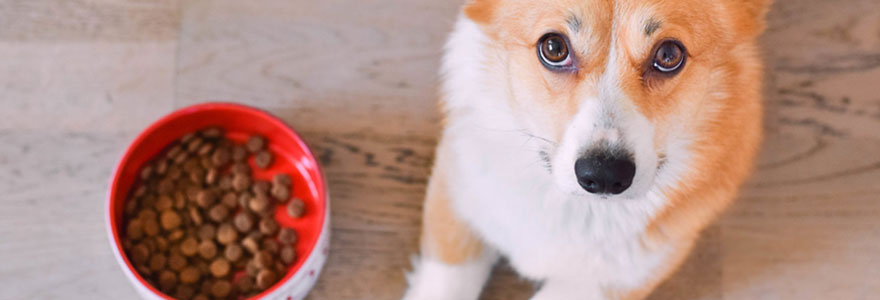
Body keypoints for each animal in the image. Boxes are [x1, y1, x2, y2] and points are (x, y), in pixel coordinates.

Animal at [406, 0, 768, 298]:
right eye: (553, 47)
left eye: (668, 55)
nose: (605, 175)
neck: (575, 209)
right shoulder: (456, 199)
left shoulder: (615, 279)